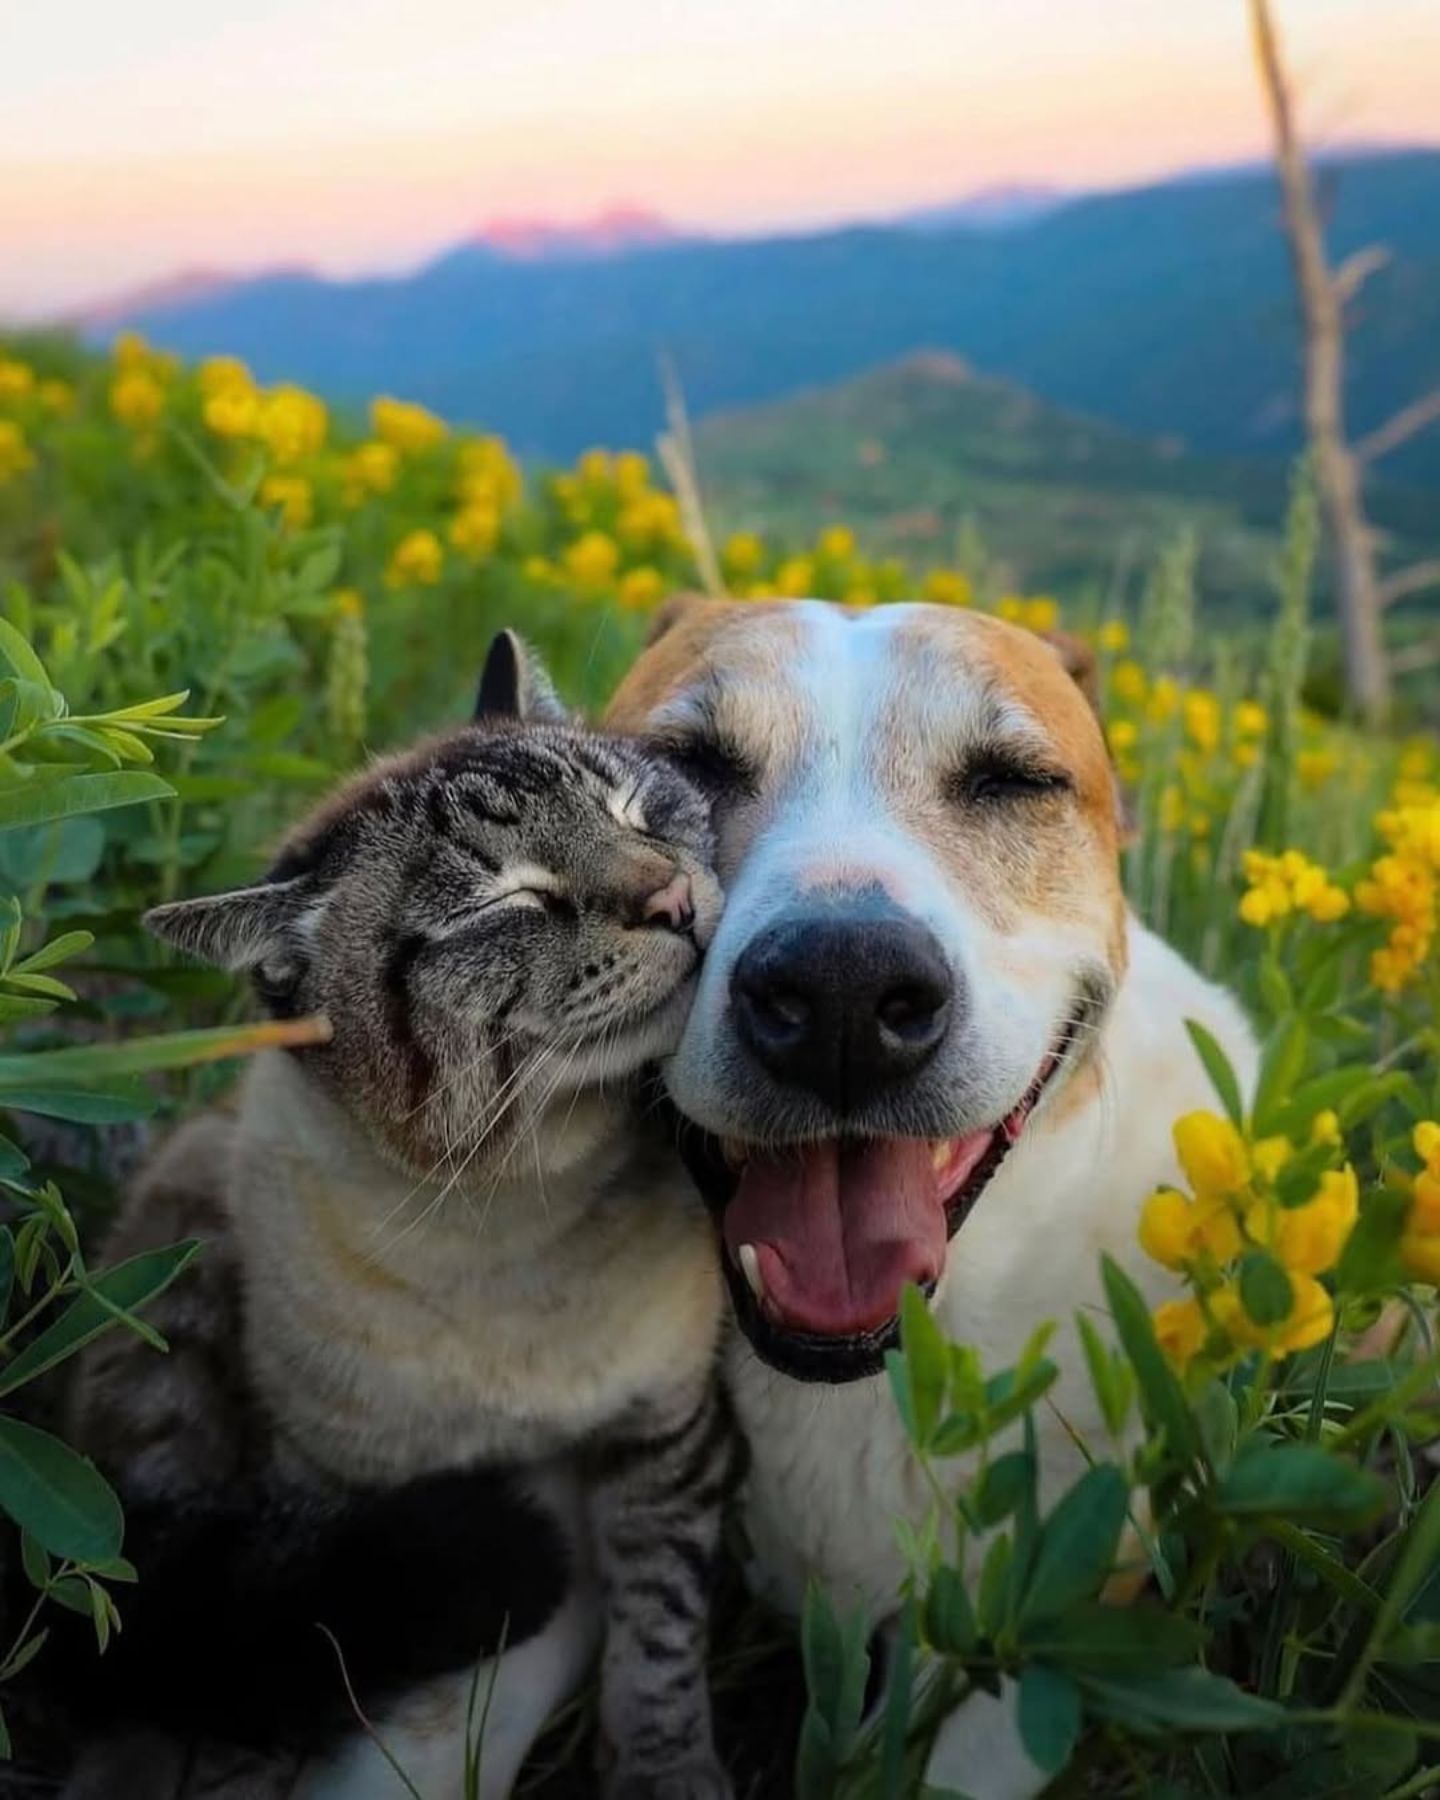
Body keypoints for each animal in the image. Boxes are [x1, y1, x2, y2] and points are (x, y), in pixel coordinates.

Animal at [56, 633, 730, 1800]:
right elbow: (301, 1662)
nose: (677, 898)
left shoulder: (664, 1436)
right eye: (505, 906)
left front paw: (666, 1773)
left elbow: (659, 1639)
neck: (507, 1216)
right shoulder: (335, 1483)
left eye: (645, 810)